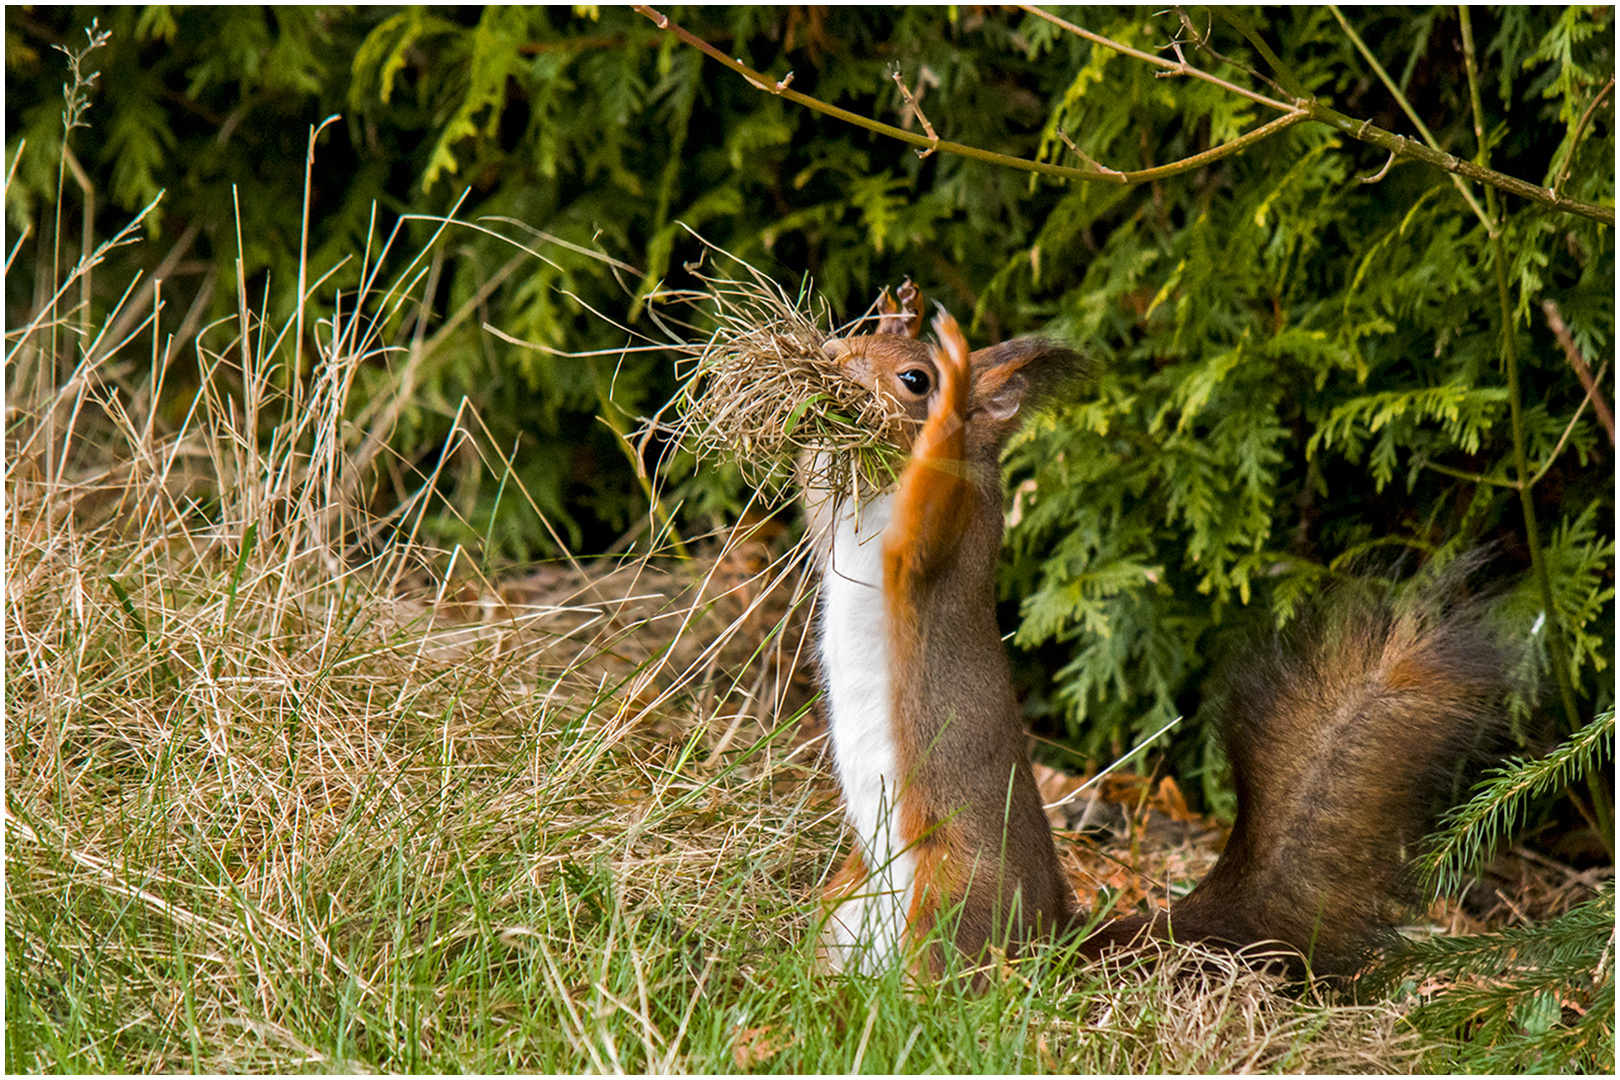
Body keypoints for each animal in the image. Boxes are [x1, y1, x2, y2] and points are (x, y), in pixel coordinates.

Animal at [810, 283, 1516, 984]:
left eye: (915, 379)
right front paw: (891, 314)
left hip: (952, 897)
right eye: (857, 340)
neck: (878, 489)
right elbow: (816, 501)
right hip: (845, 905)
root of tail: (1053, 938)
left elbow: (928, 508)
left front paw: (953, 376)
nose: (835, 354)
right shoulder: (840, 524)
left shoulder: (943, 542)